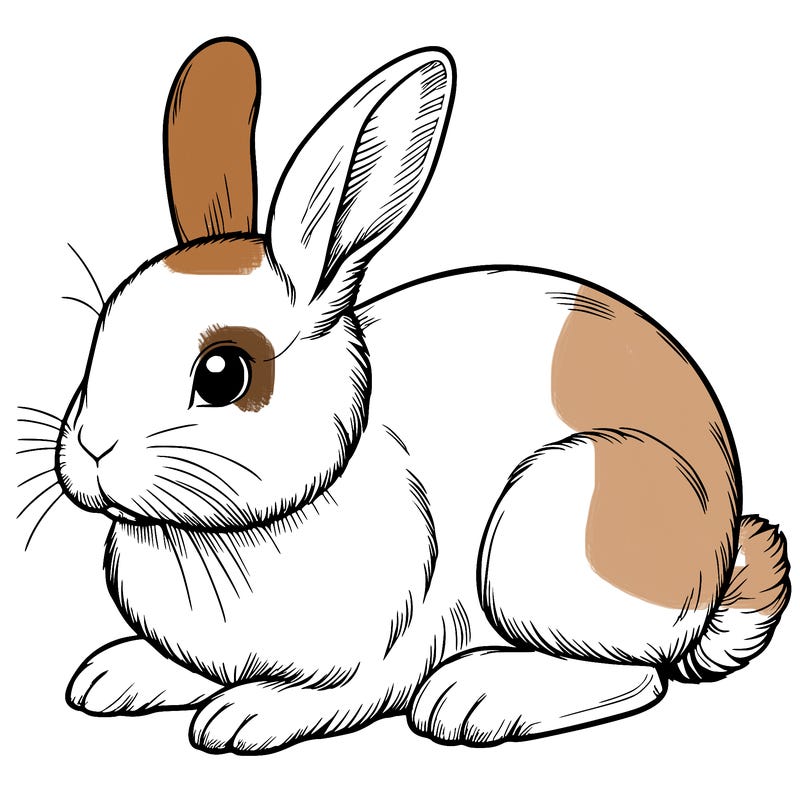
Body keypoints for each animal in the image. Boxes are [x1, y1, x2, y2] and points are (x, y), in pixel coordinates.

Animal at [52, 37, 789, 754]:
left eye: (223, 374)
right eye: (98, 335)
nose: (90, 450)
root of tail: (713, 568)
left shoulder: (388, 652)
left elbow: (342, 695)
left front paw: (245, 715)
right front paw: (114, 675)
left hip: (553, 527)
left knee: (637, 675)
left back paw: (475, 699)